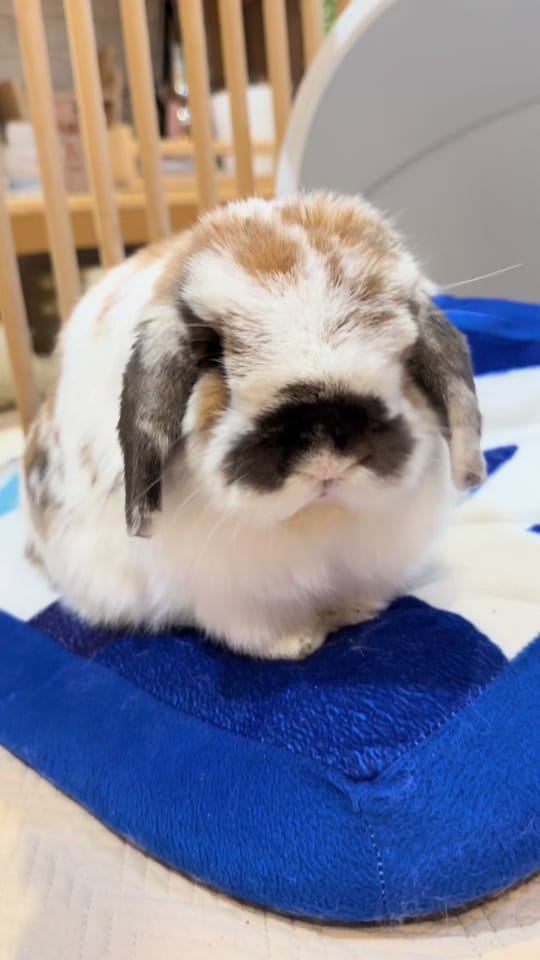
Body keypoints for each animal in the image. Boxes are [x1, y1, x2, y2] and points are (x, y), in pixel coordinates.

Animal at [22, 192, 485, 659]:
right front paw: (297, 643)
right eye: (212, 352)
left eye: (406, 346)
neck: (317, 520)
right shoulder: (234, 595)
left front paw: (357, 611)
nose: (325, 456)